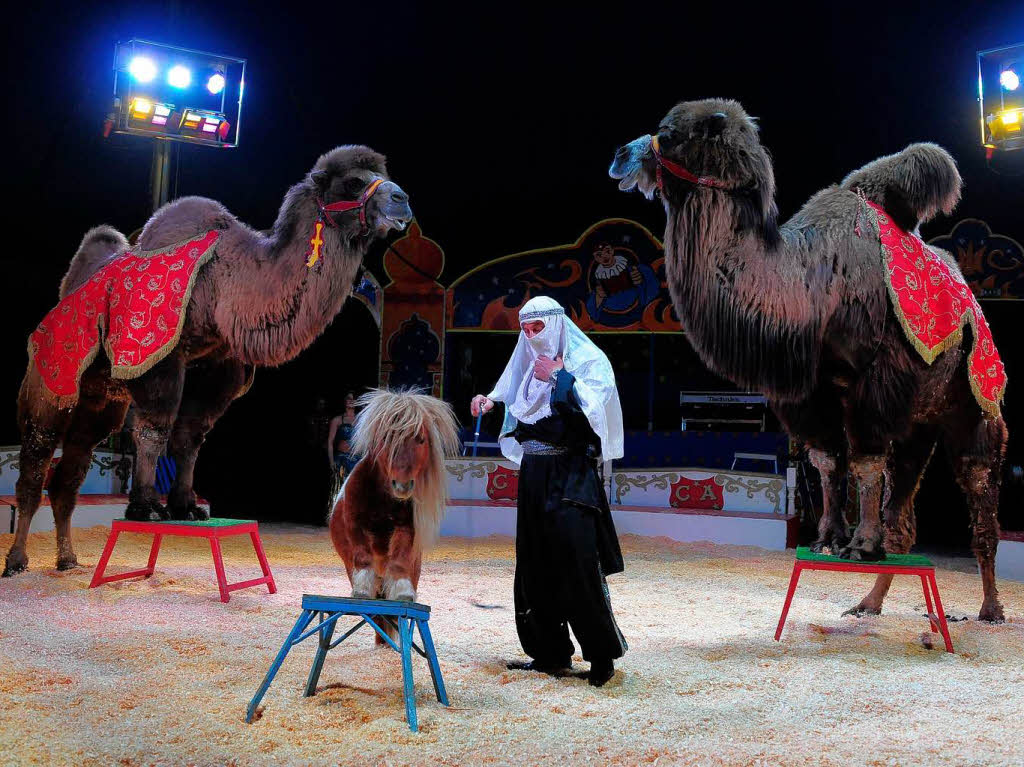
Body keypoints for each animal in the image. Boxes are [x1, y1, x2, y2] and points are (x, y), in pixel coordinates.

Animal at [4, 145, 411, 573]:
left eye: (382, 177)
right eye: (354, 181)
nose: (403, 200)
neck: (224, 280)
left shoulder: (218, 364)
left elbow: (190, 436)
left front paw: (185, 506)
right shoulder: (157, 354)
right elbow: (155, 430)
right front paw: (146, 506)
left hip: (97, 402)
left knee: (69, 474)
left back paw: (67, 559)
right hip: (50, 380)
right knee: (35, 462)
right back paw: (16, 560)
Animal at [606, 98, 1007, 618]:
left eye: (670, 134)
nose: (620, 155)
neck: (810, 289)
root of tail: (972, 302)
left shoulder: (874, 382)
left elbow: (864, 463)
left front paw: (858, 545)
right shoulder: (808, 394)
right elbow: (826, 462)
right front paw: (827, 539)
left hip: (974, 401)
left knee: (979, 492)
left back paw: (990, 608)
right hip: (920, 421)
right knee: (903, 512)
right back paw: (869, 602)